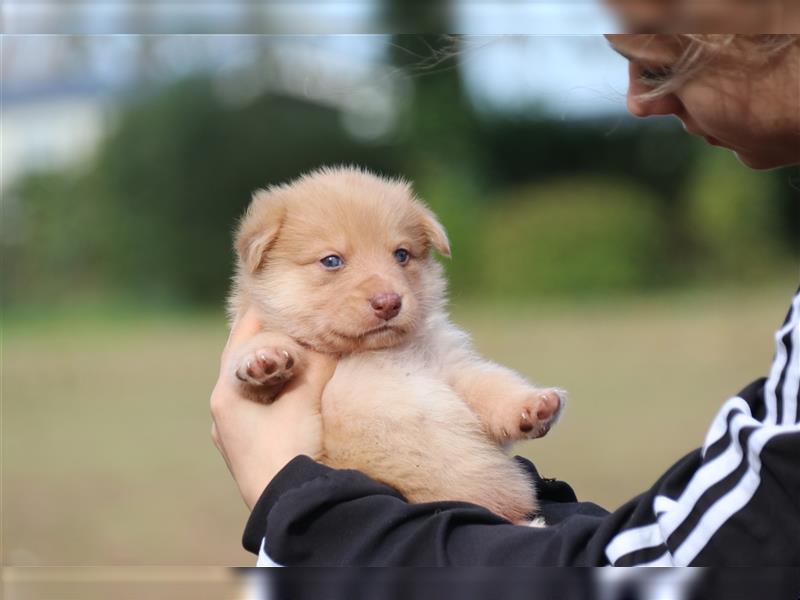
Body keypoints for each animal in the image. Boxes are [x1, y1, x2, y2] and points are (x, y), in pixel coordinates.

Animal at [227, 166, 564, 524]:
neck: (375, 353)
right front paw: (265, 360)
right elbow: (267, 349)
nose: (389, 302)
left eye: (401, 254)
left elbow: (493, 388)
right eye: (331, 260)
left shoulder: (450, 368)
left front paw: (537, 406)